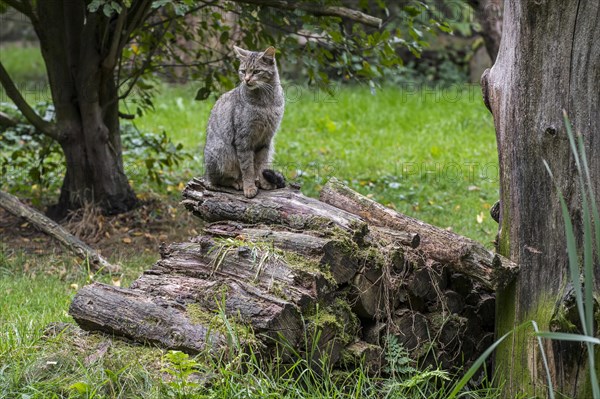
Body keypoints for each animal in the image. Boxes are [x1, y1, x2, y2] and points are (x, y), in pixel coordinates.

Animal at [203, 45, 284, 198]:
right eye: (243, 71)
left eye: (256, 71)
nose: (246, 79)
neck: (265, 102)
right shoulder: (243, 139)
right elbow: (247, 168)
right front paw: (249, 187)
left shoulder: (266, 139)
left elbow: (261, 165)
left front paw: (264, 182)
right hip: (222, 151)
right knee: (217, 180)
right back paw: (237, 182)